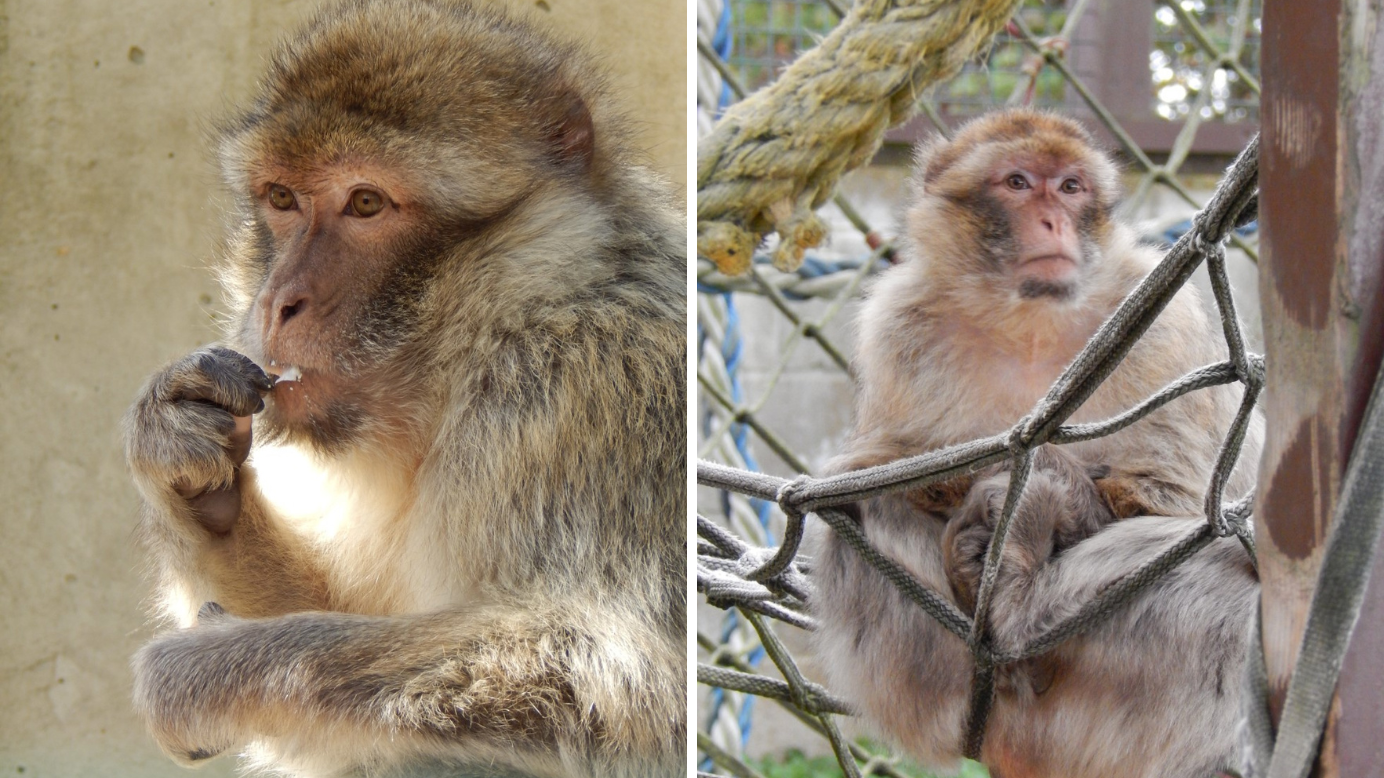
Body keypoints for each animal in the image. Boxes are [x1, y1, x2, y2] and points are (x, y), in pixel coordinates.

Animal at [121, 2, 685, 776]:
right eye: (281, 198)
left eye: (365, 203)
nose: (278, 303)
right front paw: (186, 464)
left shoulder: (595, 392)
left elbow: (618, 684)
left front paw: (216, 670)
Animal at [809, 110, 1264, 778]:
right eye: (1019, 183)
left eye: (1071, 187)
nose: (1052, 220)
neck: (1028, 325)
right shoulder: (896, 330)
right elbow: (877, 470)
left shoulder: (1168, 326)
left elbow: (1172, 497)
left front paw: (1049, 483)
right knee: (852, 513)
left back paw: (1014, 593)